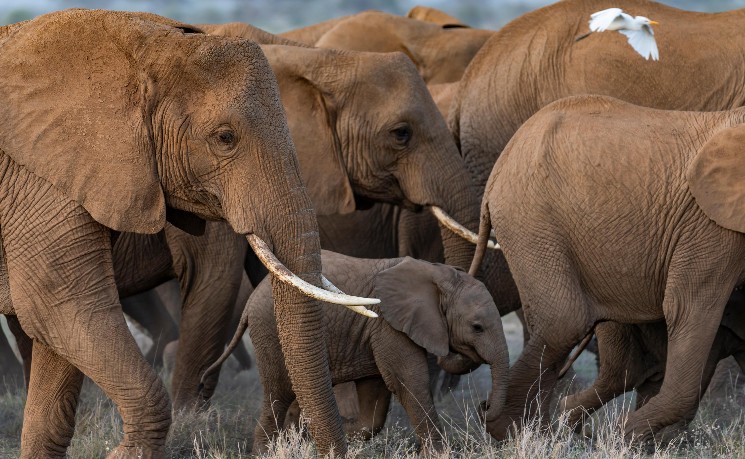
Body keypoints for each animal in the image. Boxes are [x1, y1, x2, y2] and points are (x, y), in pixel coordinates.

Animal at [0, 10, 376, 457]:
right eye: (225, 138)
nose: (336, 448)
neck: (139, 42)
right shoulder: (39, 179)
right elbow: (61, 306)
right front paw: (122, 453)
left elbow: (57, 336)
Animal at [203, 250, 509, 453]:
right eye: (477, 327)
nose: (483, 405)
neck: (439, 274)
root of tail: (251, 299)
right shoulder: (387, 324)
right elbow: (409, 383)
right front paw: (440, 453)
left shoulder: (373, 330)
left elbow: (374, 402)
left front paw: (325, 436)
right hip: (270, 332)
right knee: (277, 395)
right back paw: (267, 451)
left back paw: (298, 438)